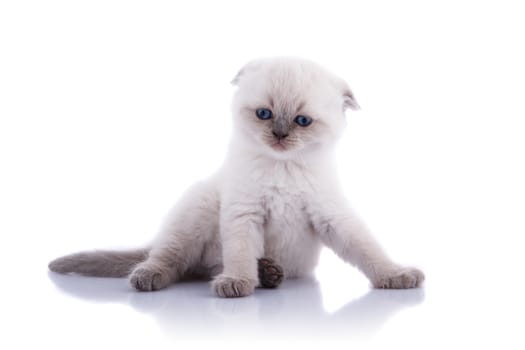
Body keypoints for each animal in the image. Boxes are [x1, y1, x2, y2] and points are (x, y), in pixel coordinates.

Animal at [49, 56, 424, 296]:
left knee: (204, 267)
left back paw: (269, 273)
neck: (283, 167)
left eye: (302, 121)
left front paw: (397, 276)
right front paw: (237, 284)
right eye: (264, 114)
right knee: (170, 259)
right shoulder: (244, 214)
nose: (279, 135)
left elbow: (369, 250)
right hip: (198, 210)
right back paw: (150, 277)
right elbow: (241, 254)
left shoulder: (332, 216)